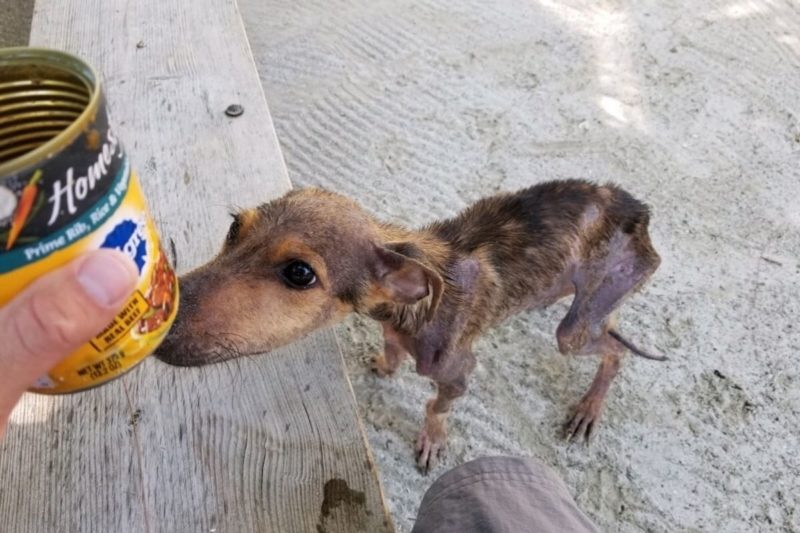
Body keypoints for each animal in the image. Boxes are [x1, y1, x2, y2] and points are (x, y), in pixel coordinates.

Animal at [156, 181, 664, 472]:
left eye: (300, 273)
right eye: (234, 228)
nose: (159, 324)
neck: (410, 306)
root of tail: (638, 209)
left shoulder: (459, 372)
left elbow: (436, 407)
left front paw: (432, 442)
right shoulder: (393, 329)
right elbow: (392, 350)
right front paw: (386, 364)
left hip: (574, 333)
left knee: (615, 351)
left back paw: (587, 409)